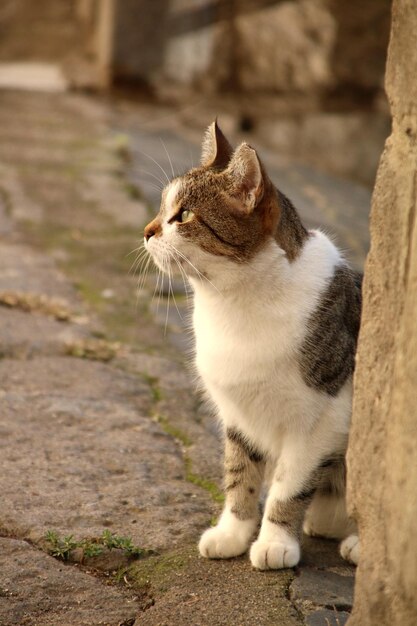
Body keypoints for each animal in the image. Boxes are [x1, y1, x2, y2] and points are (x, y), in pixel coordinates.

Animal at [143, 120, 360, 564]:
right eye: (160, 208)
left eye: (184, 214)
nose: (146, 231)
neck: (234, 302)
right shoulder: (238, 414)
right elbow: (239, 476)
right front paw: (233, 533)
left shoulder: (323, 419)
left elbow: (288, 484)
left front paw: (275, 542)